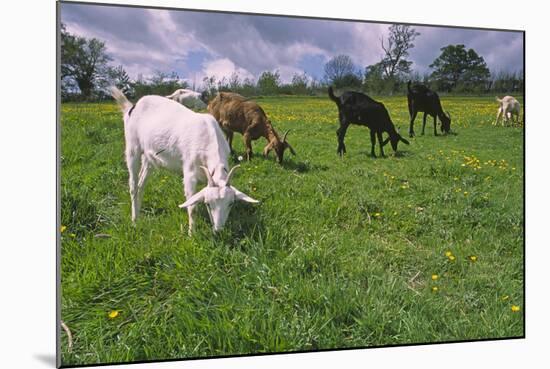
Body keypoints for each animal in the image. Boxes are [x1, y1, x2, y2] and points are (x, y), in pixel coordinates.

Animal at [111, 87, 262, 233]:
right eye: (208, 204)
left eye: (231, 203)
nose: (219, 230)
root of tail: (132, 107)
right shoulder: (189, 174)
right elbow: (192, 206)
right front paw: (191, 233)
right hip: (132, 147)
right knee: (133, 185)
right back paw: (134, 220)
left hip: (149, 157)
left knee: (141, 184)